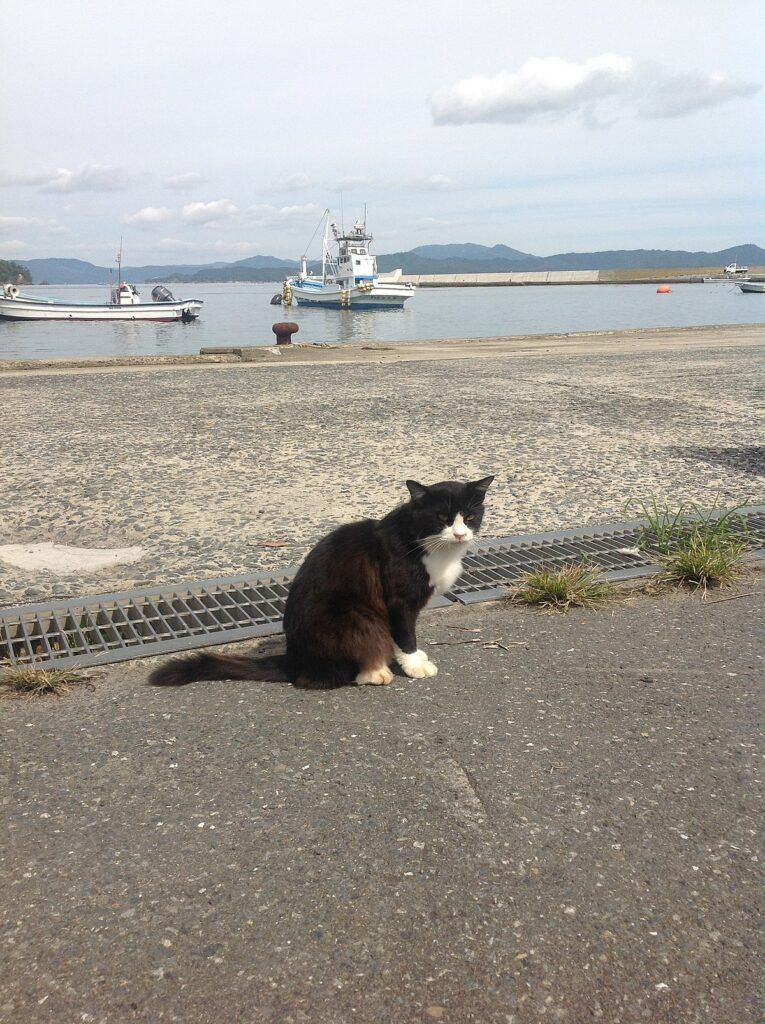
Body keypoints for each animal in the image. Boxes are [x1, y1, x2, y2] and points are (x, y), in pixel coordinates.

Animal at [151, 477, 497, 688]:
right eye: (441, 518)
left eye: (469, 517)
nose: (459, 534)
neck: (429, 545)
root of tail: (295, 659)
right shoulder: (398, 600)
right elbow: (404, 635)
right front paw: (413, 665)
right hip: (355, 616)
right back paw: (377, 672)